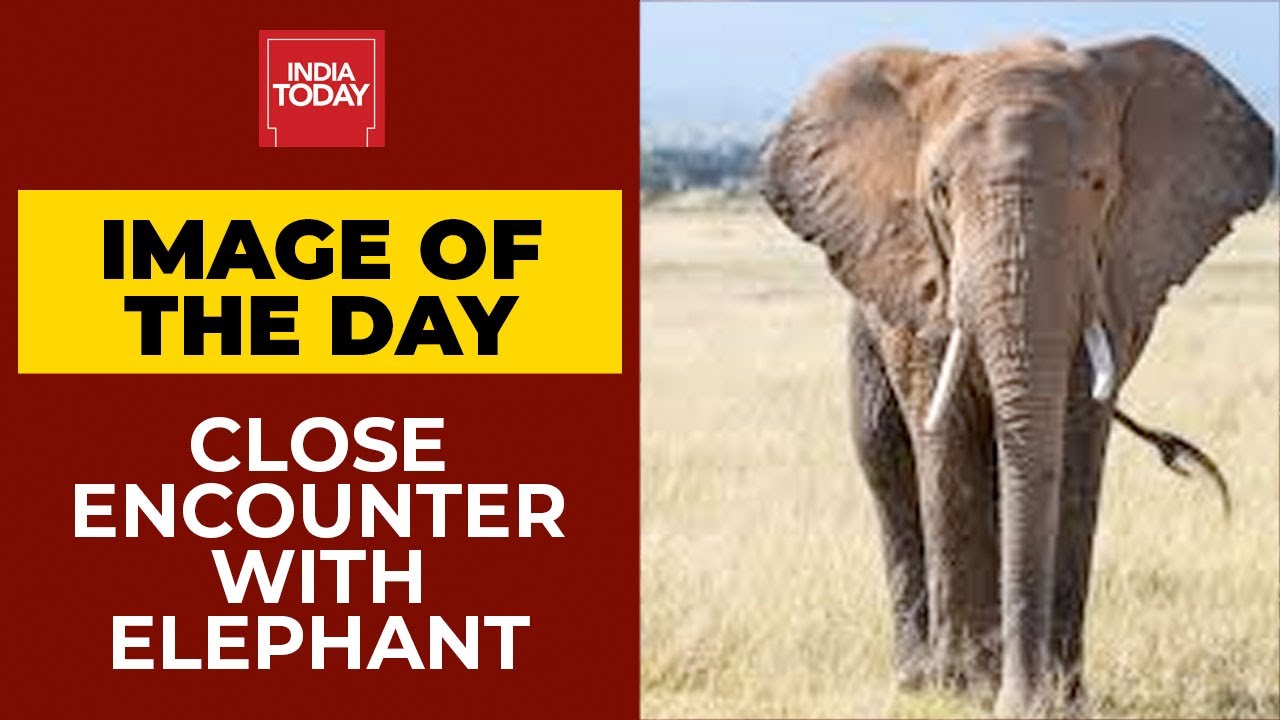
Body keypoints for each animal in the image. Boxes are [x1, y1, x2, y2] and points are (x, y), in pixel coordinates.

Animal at [760, 36, 1274, 716]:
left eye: (1100, 183)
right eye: (939, 190)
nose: (1023, 699)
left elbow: (1076, 450)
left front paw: (1062, 698)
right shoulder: (923, 284)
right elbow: (945, 444)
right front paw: (966, 693)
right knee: (884, 457)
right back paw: (918, 679)